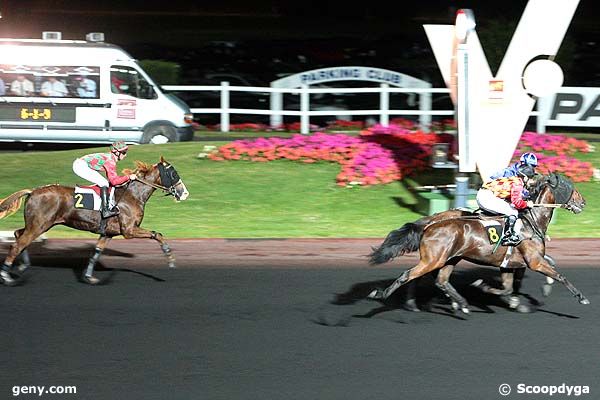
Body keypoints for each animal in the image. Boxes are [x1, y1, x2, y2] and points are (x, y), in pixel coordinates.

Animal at [0, 156, 188, 284]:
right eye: (173, 173)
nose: (184, 193)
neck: (132, 195)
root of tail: (32, 191)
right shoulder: (129, 230)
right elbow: (157, 234)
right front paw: (170, 258)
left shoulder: (108, 233)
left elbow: (96, 253)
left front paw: (89, 277)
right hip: (40, 224)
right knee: (18, 244)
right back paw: (6, 276)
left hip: (37, 224)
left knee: (18, 234)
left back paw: (22, 266)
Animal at [368, 173, 588, 314]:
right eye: (572, 188)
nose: (583, 202)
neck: (530, 222)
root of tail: (430, 225)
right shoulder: (534, 261)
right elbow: (560, 275)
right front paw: (581, 297)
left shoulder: (510, 264)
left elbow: (509, 287)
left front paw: (491, 290)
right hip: (434, 259)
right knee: (409, 275)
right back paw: (383, 295)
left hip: (448, 259)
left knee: (439, 280)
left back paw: (457, 303)